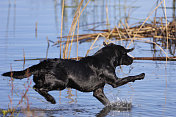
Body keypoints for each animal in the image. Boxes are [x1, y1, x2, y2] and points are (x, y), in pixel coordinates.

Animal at [2, 43, 144, 106]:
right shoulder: (115, 82)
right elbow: (130, 77)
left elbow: (107, 103)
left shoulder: (98, 91)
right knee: (38, 88)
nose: (132, 59)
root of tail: (42, 65)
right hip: (60, 83)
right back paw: (51, 100)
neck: (105, 58)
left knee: (36, 87)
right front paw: (141, 75)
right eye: (125, 53)